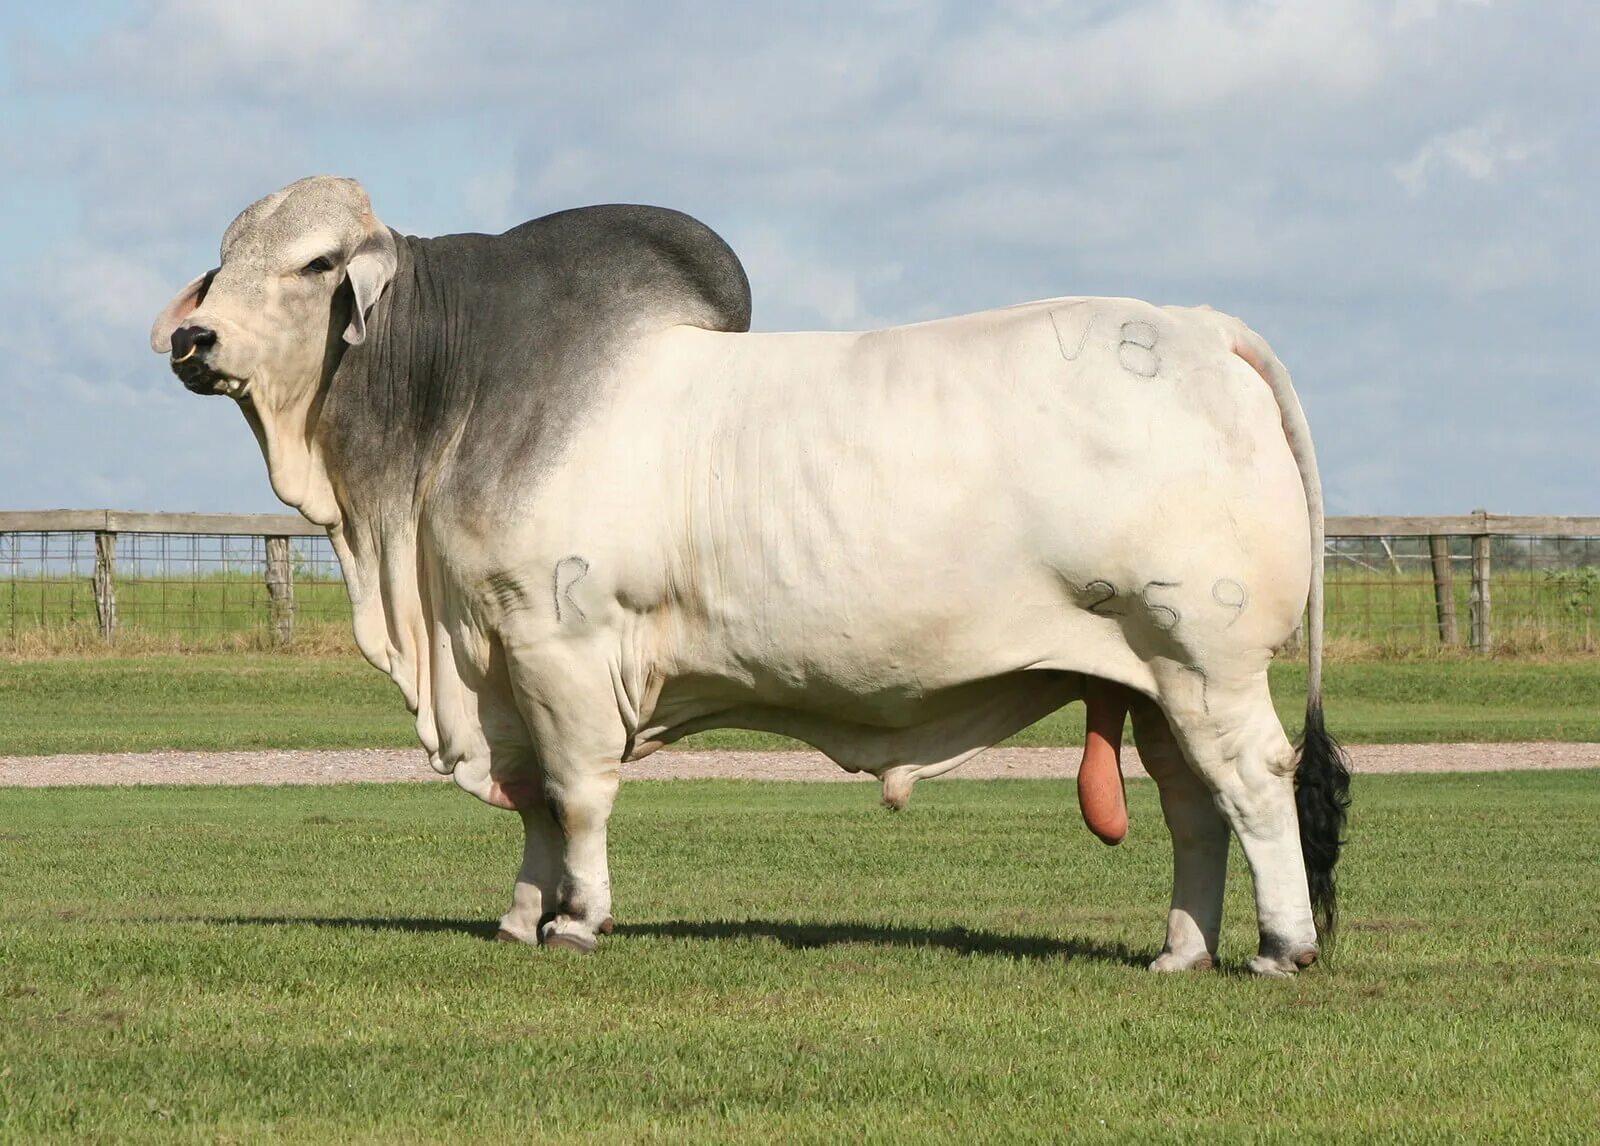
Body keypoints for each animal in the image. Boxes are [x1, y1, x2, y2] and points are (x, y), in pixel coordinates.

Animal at [150, 179, 1350, 973]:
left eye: (315, 264)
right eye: (227, 252)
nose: (193, 341)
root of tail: (1201, 330)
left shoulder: (558, 642)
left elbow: (576, 792)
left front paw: (579, 921)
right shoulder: (500, 662)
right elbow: (533, 804)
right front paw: (521, 916)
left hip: (1207, 657)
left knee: (1254, 781)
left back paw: (1281, 945)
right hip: (1150, 679)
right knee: (1194, 807)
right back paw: (1180, 952)